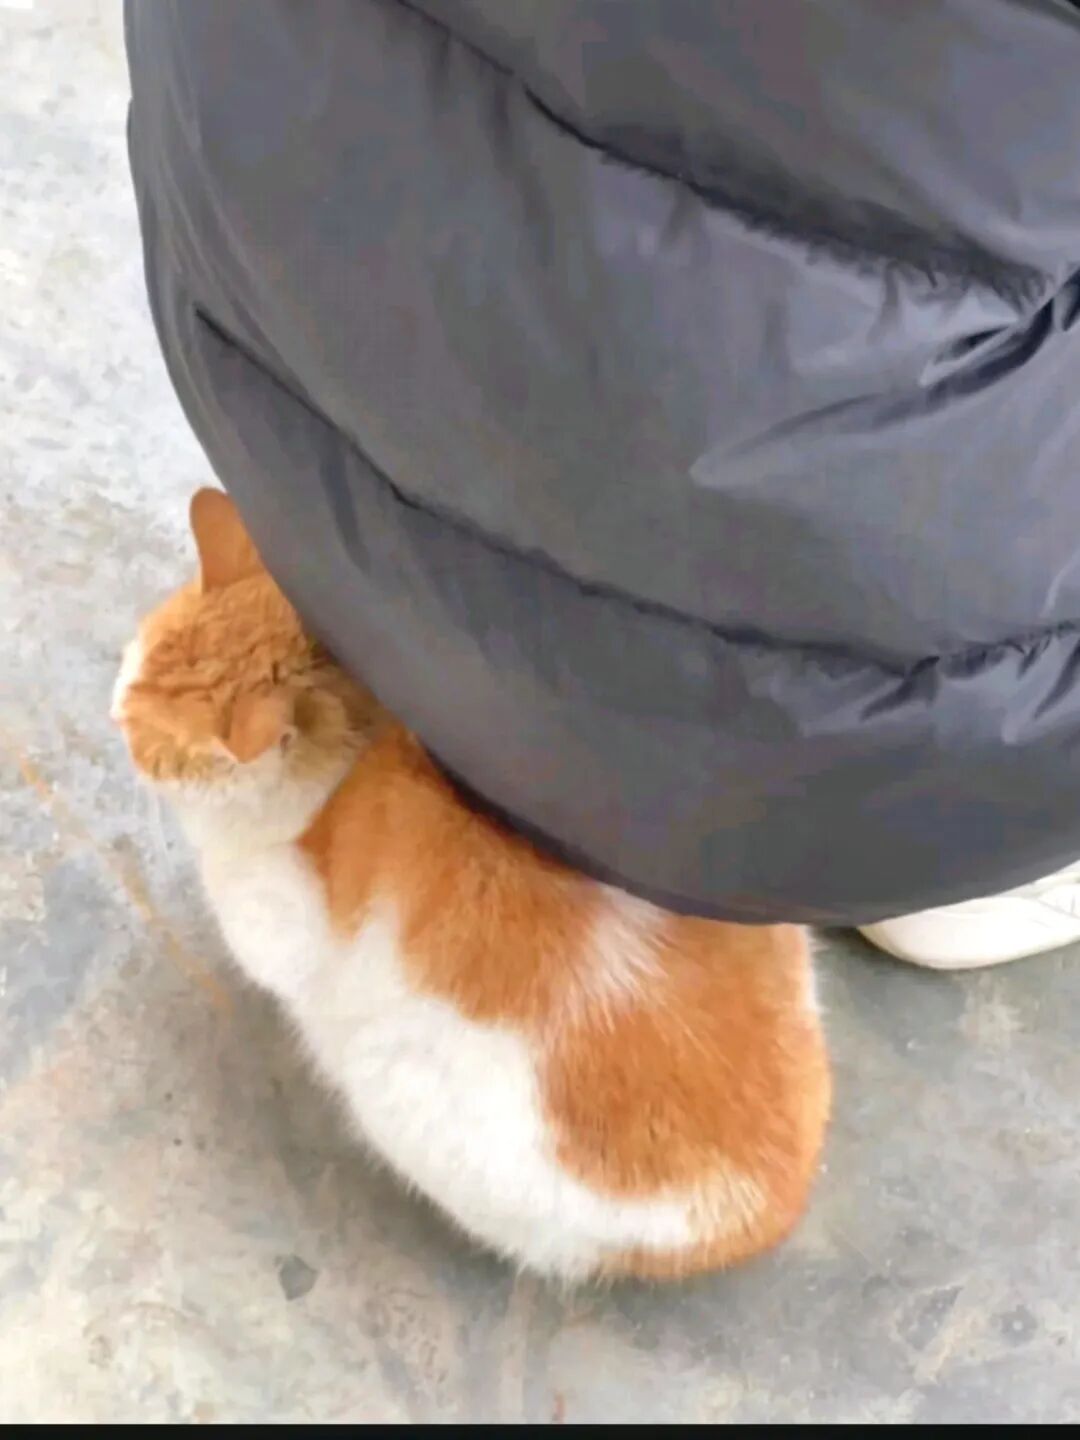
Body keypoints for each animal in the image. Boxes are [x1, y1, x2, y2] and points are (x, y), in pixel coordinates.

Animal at [112, 487, 830, 1281]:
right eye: (131, 661)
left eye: (157, 748)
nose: (112, 715)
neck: (362, 740)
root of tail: (769, 1209)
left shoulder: (276, 916)